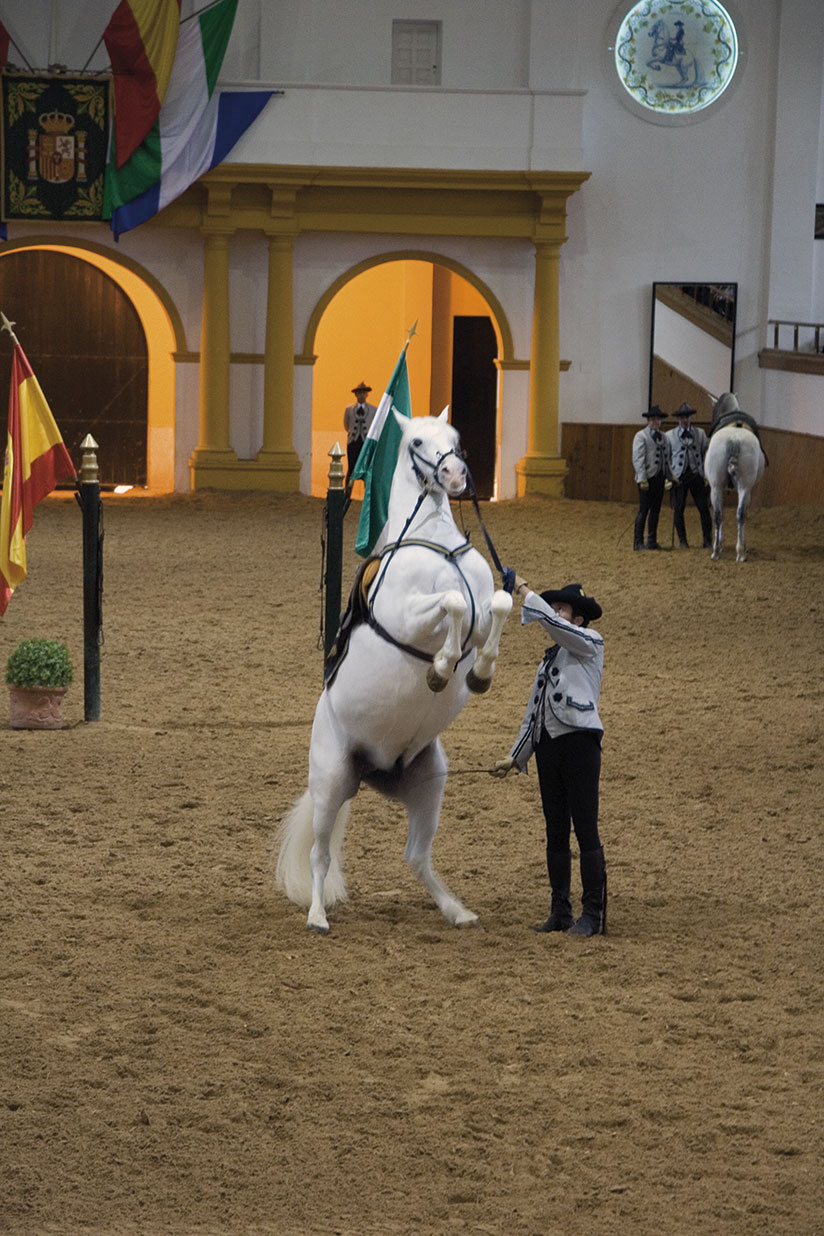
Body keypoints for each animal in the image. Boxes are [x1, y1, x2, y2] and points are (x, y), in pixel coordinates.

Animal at [276, 408, 513, 933]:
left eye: (455, 437)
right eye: (417, 442)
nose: (456, 474)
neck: (436, 542)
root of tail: (374, 770)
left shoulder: (487, 605)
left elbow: (500, 603)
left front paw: (479, 673)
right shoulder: (409, 613)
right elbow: (453, 602)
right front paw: (441, 668)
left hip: (430, 783)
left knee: (415, 857)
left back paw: (457, 911)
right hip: (330, 784)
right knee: (321, 856)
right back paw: (318, 916)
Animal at [704, 393, 767, 562]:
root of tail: (734, 439)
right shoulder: (748, 490)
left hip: (716, 487)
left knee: (718, 515)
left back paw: (716, 551)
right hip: (744, 487)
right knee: (741, 514)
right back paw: (740, 553)